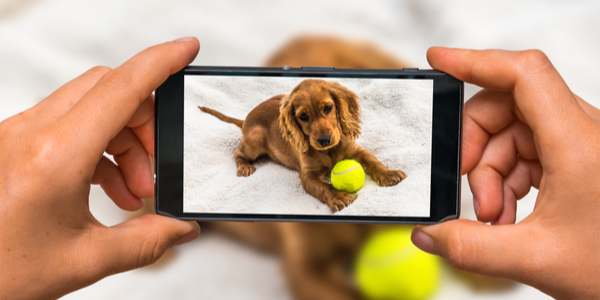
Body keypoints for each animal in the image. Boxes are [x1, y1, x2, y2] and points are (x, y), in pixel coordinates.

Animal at [199, 78, 406, 212]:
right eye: (303, 117)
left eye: (328, 108)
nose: (324, 140)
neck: (329, 151)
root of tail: (245, 119)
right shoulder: (308, 175)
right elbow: (324, 187)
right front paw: (339, 197)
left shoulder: (356, 151)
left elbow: (373, 160)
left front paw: (389, 174)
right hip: (255, 139)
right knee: (237, 152)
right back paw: (244, 167)